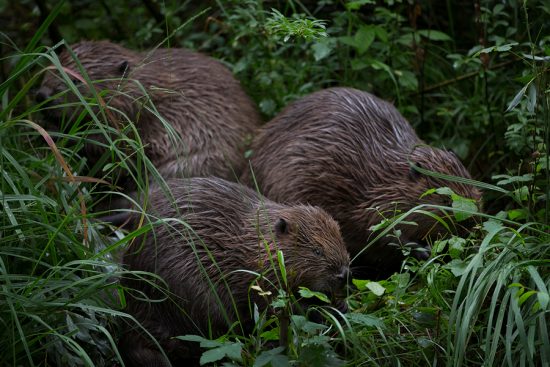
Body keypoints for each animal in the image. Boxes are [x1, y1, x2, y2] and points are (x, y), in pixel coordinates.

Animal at [35, 41, 262, 187]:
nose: (42, 94)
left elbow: (117, 149)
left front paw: (53, 132)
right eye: (49, 67)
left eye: (75, 80)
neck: (146, 89)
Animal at [119, 177, 352, 366]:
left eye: (342, 240)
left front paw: (341, 305)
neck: (254, 240)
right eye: (317, 251)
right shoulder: (254, 278)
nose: (343, 275)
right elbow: (274, 305)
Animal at [244, 87, 486, 278]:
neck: (388, 175)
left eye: (476, 192)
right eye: (445, 199)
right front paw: (423, 250)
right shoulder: (373, 202)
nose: (472, 225)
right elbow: (381, 230)